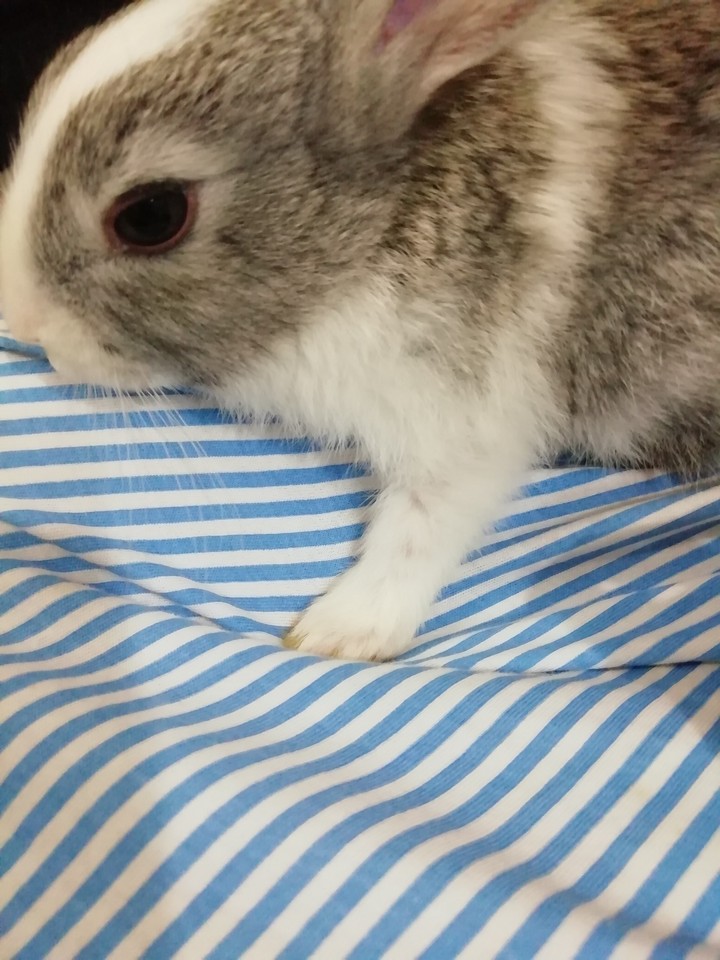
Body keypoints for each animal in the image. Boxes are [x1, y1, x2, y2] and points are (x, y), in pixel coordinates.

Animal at [0, 0, 719, 661]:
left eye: (151, 215)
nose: (25, 325)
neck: (375, 230)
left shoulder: (472, 417)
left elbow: (425, 522)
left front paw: (341, 631)